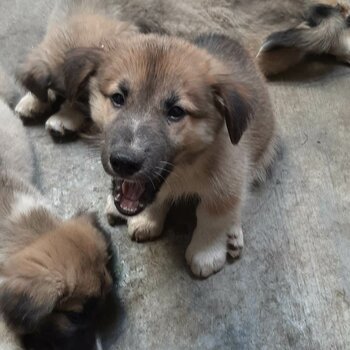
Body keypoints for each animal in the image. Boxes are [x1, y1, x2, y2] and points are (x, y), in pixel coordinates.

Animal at [61, 33, 278, 278]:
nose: (124, 163)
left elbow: (213, 216)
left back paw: (232, 233)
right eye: (118, 98)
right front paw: (146, 220)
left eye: (176, 112)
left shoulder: (229, 177)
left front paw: (206, 253)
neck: (185, 169)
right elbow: (156, 200)